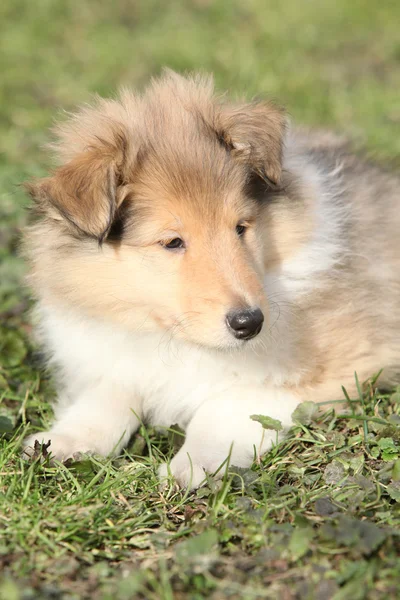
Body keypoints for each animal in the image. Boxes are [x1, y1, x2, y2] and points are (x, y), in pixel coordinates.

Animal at [22, 69, 400, 488]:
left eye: (240, 227)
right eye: (172, 242)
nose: (250, 323)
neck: (177, 340)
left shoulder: (338, 368)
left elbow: (224, 407)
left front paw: (189, 466)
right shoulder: (119, 355)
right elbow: (107, 392)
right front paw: (62, 441)